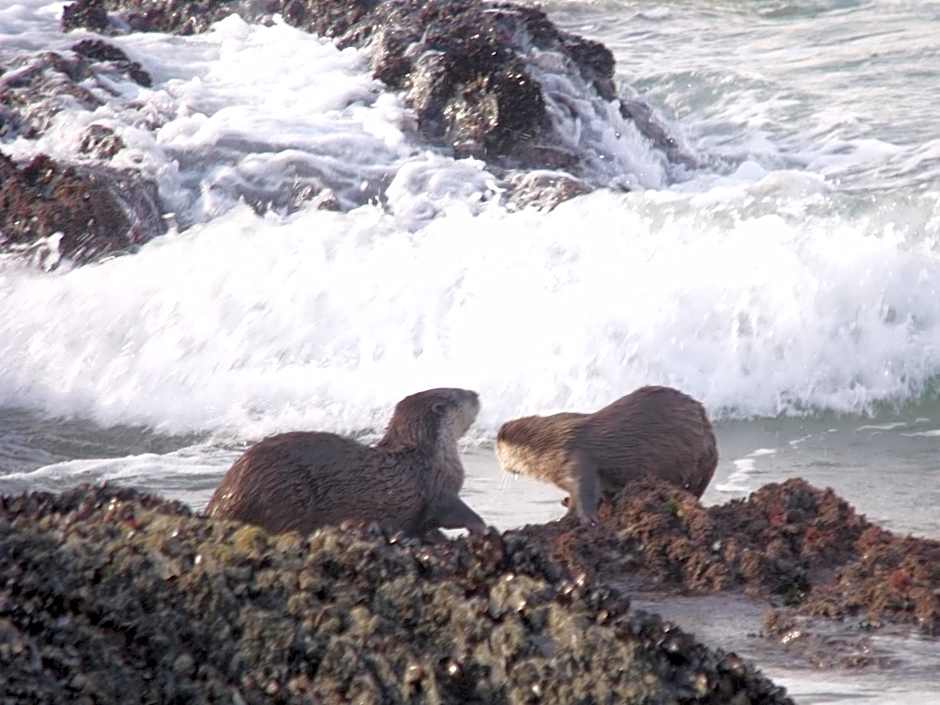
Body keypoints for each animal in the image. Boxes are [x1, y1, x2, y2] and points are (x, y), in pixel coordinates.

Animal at [205, 387, 487, 537]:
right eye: (461, 394)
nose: (476, 393)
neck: (431, 456)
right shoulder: (439, 489)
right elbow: (455, 513)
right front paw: (481, 528)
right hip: (282, 492)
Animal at [495, 386, 718, 525]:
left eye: (499, 454)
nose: (503, 467)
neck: (550, 445)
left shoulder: (576, 459)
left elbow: (584, 492)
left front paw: (582, 519)